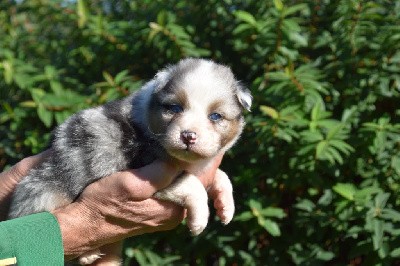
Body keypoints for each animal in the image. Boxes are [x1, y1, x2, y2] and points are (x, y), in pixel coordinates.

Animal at [8, 58, 253, 264]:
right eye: (174, 108)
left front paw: (226, 206)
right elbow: (191, 183)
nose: (188, 136)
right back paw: (87, 253)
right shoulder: (143, 166)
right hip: (44, 190)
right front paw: (199, 221)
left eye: (215, 116)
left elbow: (222, 176)